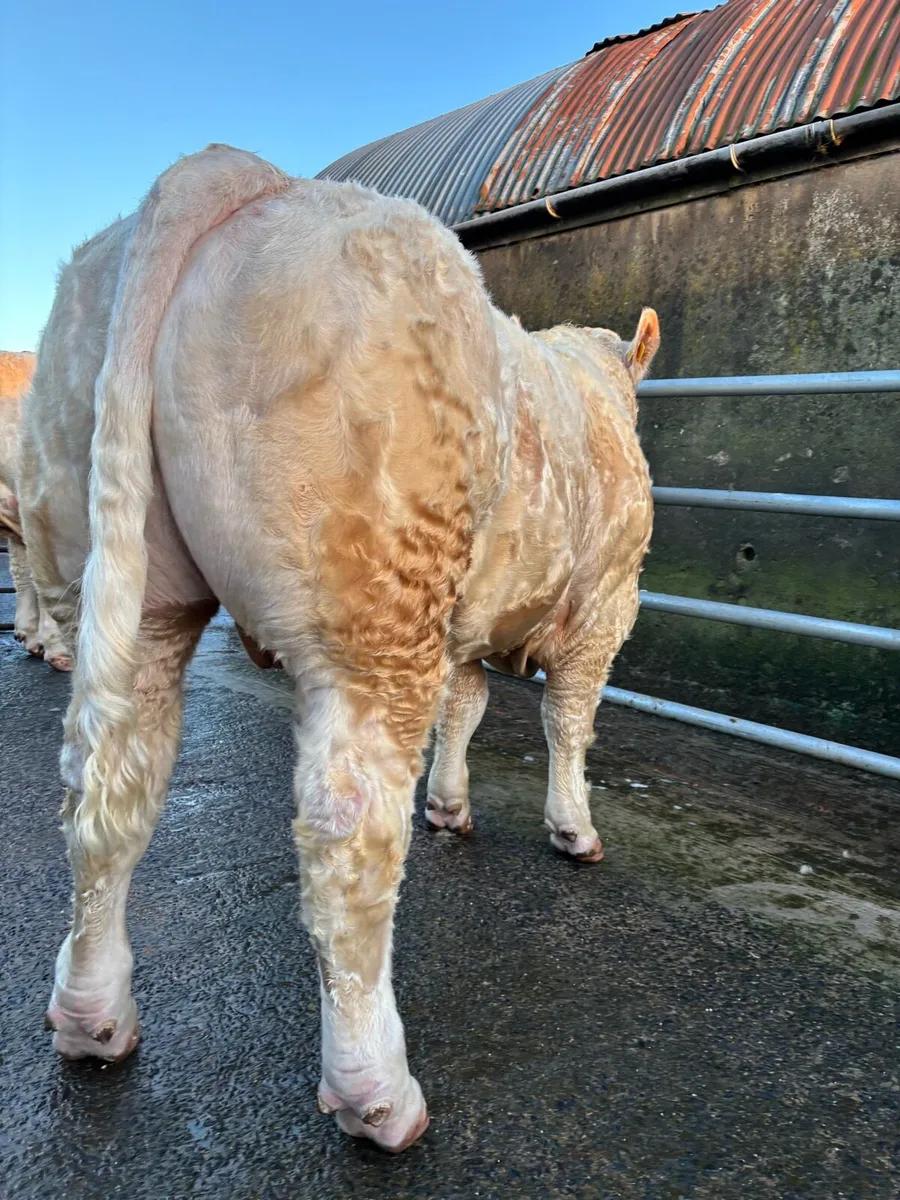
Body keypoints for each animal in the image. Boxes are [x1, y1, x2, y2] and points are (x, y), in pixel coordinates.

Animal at [22, 145, 658, 1153]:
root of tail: (240, 173)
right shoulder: (607, 602)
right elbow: (568, 720)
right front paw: (573, 828)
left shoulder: (469, 623)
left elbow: (467, 707)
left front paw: (450, 805)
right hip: (378, 609)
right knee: (346, 833)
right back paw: (377, 1094)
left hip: (131, 585)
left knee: (111, 788)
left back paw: (91, 1016)